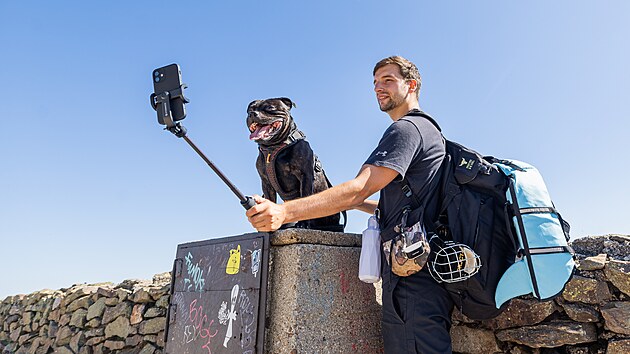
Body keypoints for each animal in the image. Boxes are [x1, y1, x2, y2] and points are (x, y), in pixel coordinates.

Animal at [247, 96, 346, 232]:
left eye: (270, 108)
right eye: (249, 110)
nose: (252, 114)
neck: (274, 147)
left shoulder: (305, 176)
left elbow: (305, 196)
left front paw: (303, 223)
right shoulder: (266, 182)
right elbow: (269, 198)